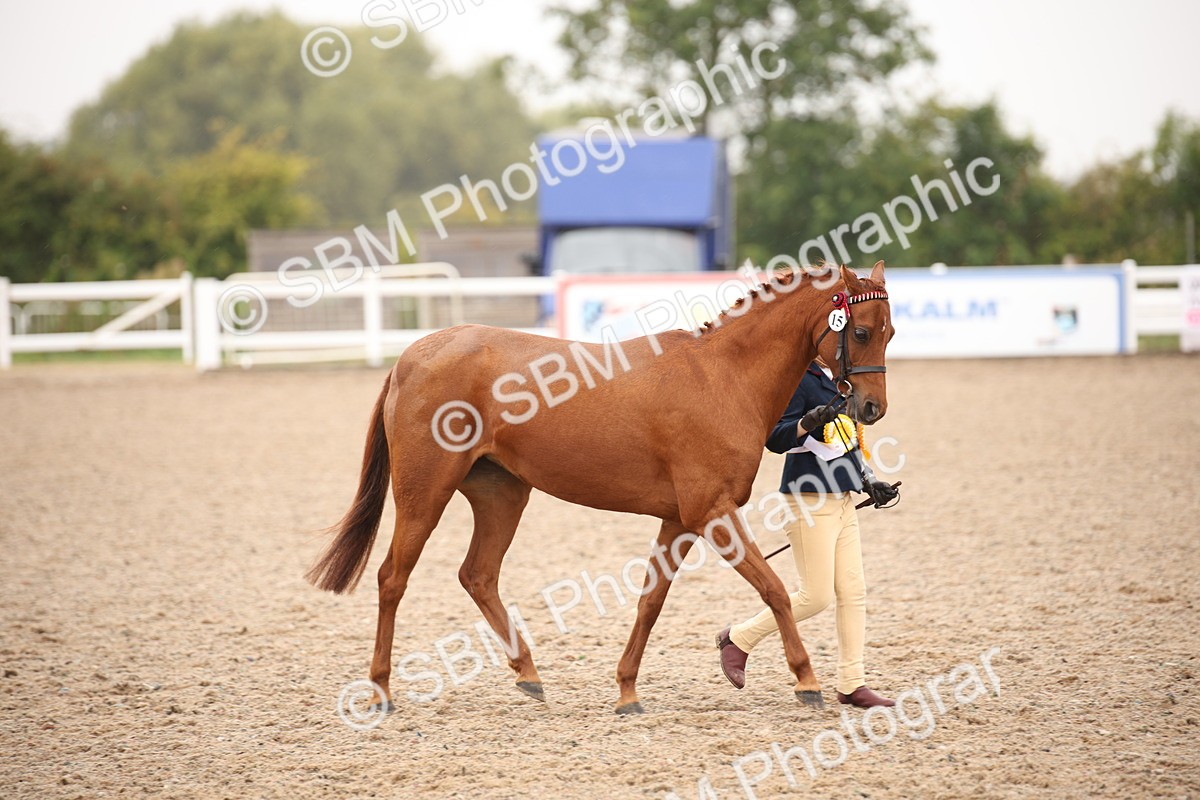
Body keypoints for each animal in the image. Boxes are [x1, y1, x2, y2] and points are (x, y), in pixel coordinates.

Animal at [306, 261, 894, 715]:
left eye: (890, 332)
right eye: (861, 332)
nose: (870, 408)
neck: (722, 376)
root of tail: (414, 355)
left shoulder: (680, 520)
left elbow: (651, 601)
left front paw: (627, 691)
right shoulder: (712, 513)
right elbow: (774, 590)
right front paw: (807, 681)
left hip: (502, 494)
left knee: (477, 575)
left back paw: (528, 674)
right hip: (425, 493)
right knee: (392, 578)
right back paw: (381, 690)